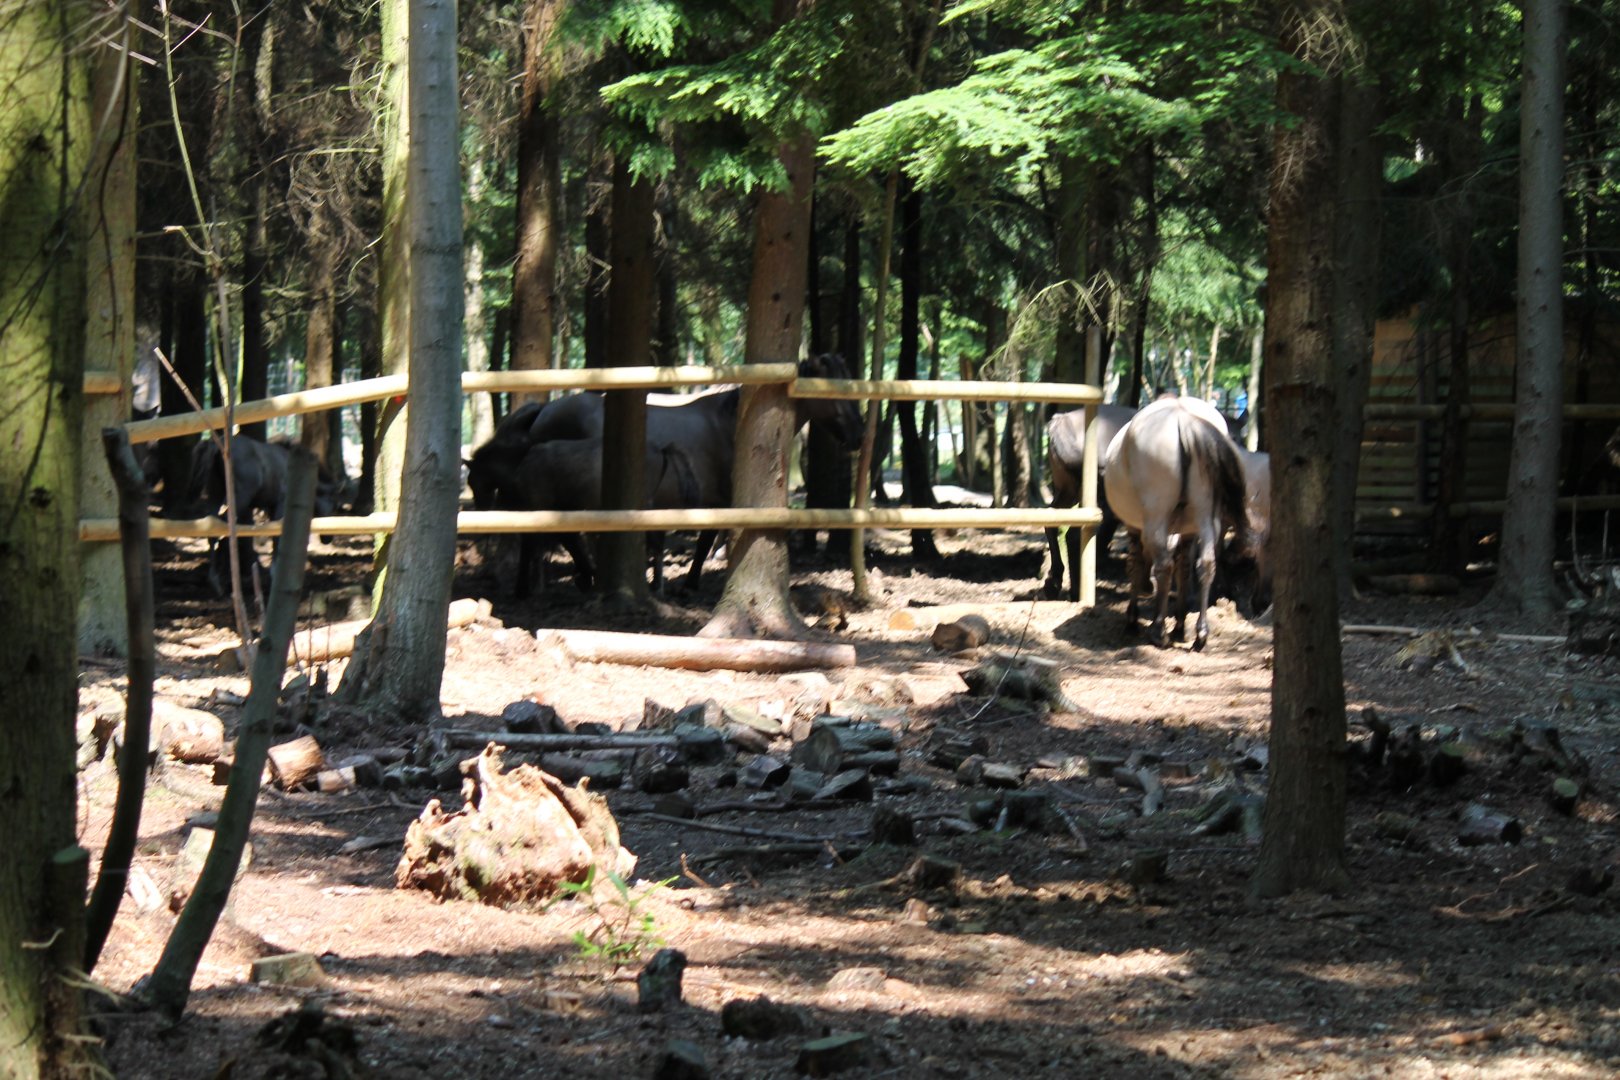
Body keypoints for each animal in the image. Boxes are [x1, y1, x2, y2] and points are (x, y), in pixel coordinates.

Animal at [1103, 396, 1248, 651]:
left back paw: (1158, 630)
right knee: (1206, 564)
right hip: (1206, 516)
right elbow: (1184, 569)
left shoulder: (1135, 527)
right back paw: (1200, 632)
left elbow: (1136, 564)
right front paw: (1180, 623)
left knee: (1164, 566)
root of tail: (1184, 417)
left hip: (1156, 517)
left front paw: (1133, 618)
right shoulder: (1188, 531)